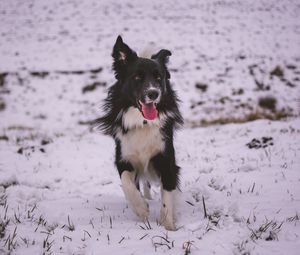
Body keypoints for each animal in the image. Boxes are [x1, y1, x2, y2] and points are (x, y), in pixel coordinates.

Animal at [94, 36, 183, 231]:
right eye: (137, 77)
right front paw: (141, 209)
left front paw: (168, 226)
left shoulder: (166, 158)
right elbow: (127, 183)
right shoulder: (124, 157)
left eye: (158, 77)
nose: (153, 93)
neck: (143, 122)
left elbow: (168, 193)